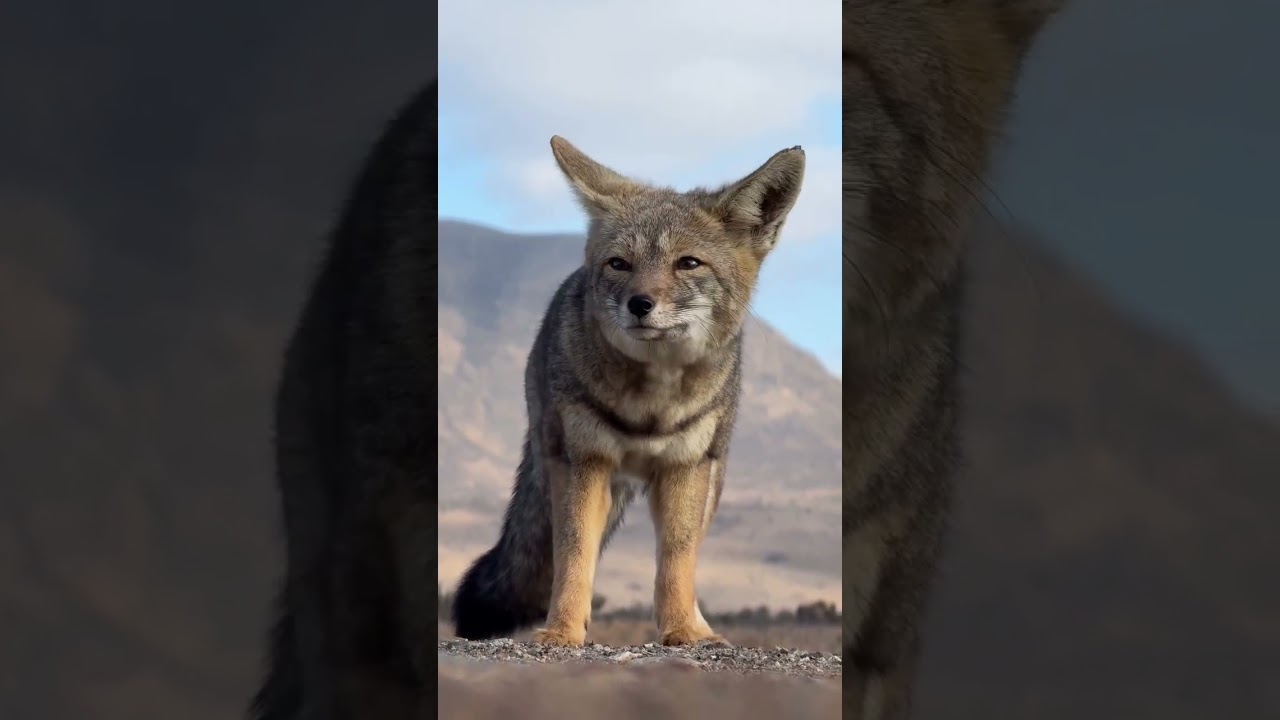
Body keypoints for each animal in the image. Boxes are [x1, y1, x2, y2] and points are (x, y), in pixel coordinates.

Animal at [451, 136, 806, 647]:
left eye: (688, 262)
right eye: (620, 264)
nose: (640, 304)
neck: (650, 406)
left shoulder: (685, 470)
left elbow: (677, 562)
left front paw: (682, 630)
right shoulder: (585, 462)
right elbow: (574, 557)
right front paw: (562, 631)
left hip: (710, 479)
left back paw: (702, 625)